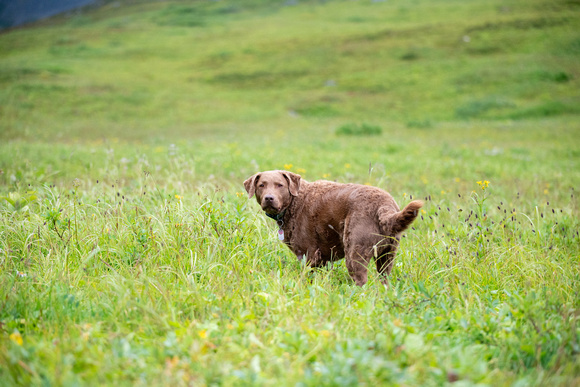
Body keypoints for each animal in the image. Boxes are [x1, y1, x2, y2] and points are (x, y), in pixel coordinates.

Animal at [242, 171, 424, 286]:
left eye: (279, 185)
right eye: (261, 185)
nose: (269, 198)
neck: (295, 202)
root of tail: (384, 207)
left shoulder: (309, 254)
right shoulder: (323, 258)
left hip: (355, 250)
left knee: (361, 280)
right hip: (388, 254)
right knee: (384, 279)